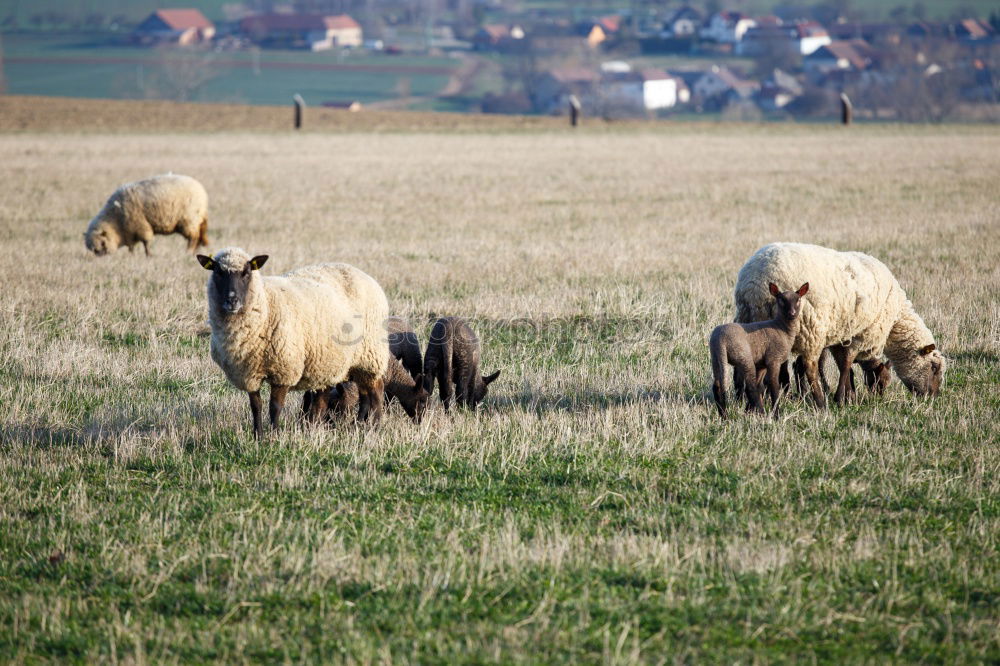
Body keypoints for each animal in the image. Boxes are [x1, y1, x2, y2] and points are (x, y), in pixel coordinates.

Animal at [198, 246, 390, 438]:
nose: (232, 300)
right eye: (218, 272)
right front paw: (258, 436)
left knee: (376, 391)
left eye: (246, 272)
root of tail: (362, 273)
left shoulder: (284, 369)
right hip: (339, 362)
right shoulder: (248, 373)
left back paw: (374, 425)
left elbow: (275, 407)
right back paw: (354, 425)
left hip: (371, 355)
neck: (265, 305)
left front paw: (274, 436)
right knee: (358, 394)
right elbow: (256, 406)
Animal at [708, 282, 808, 418]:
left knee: (717, 386)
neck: (781, 328)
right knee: (749, 387)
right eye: (781, 300)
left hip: (716, 358)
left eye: (798, 300)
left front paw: (749, 410)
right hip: (744, 356)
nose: (792, 313)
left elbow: (760, 386)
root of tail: (720, 339)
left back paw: (724, 416)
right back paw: (761, 412)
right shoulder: (773, 359)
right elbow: (773, 386)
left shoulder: (762, 364)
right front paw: (776, 414)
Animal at [736, 240, 944, 404]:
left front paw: (847, 394)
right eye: (934, 368)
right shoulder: (859, 335)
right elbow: (845, 365)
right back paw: (816, 401)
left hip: (752, 322)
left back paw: (744, 396)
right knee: (808, 366)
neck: (895, 320)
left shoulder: (841, 334)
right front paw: (842, 398)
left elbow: (843, 366)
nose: (932, 398)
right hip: (809, 328)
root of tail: (753, 285)